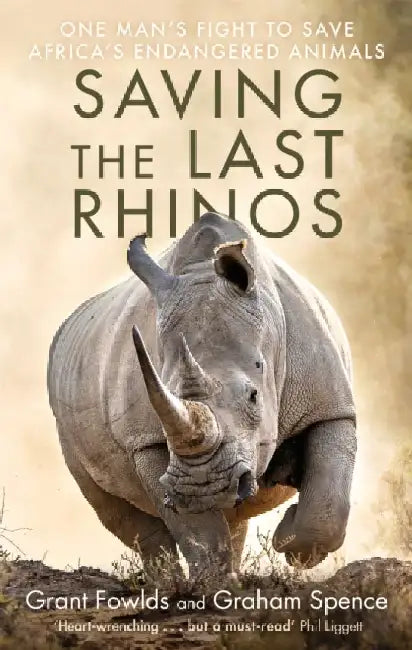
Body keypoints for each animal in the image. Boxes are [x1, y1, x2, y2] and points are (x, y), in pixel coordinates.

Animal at [47, 212, 356, 573]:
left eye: (254, 396)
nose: (203, 487)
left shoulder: (330, 404)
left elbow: (328, 503)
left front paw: (288, 543)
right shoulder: (145, 440)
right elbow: (199, 531)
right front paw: (216, 584)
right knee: (119, 513)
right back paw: (168, 581)